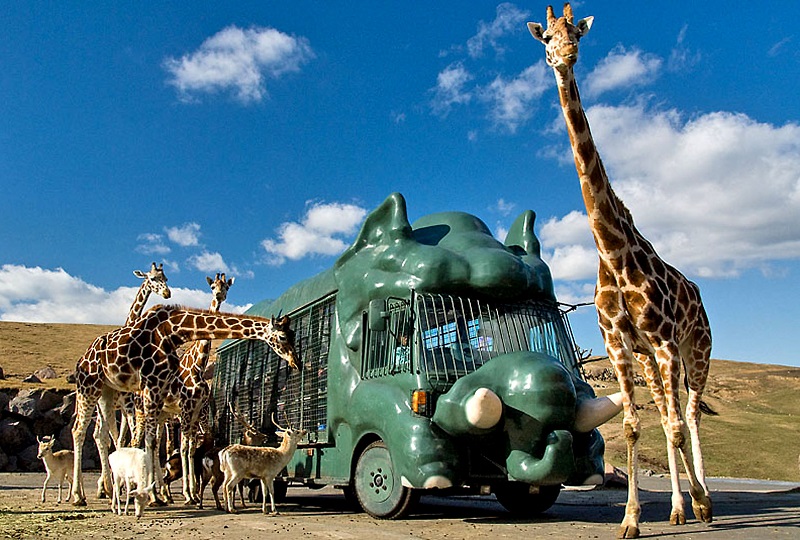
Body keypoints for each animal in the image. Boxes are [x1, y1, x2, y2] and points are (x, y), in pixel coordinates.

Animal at [69, 304, 296, 506]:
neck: (175, 330)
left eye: (293, 334)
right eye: (283, 337)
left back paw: (110, 490)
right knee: (80, 431)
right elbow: (163, 443)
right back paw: (80, 496)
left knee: (103, 435)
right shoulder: (159, 390)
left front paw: (167, 494)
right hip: (90, 387)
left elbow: (170, 444)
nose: (297, 362)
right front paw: (161, 496)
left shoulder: (168, 395)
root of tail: (82, 359)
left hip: (107, 392)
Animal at [532, 3, 712, 536]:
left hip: (696, 350)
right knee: (673, 412)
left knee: (689, 415)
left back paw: (702, 501)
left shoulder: (666, 341)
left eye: (577, 33)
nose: (564, 56)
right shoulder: (618, 343)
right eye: (545, 37)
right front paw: (633, 518)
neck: (611, 252)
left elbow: (674, 425)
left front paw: (696, 502)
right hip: (654, 358)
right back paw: (679, 507)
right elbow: (633, 425)